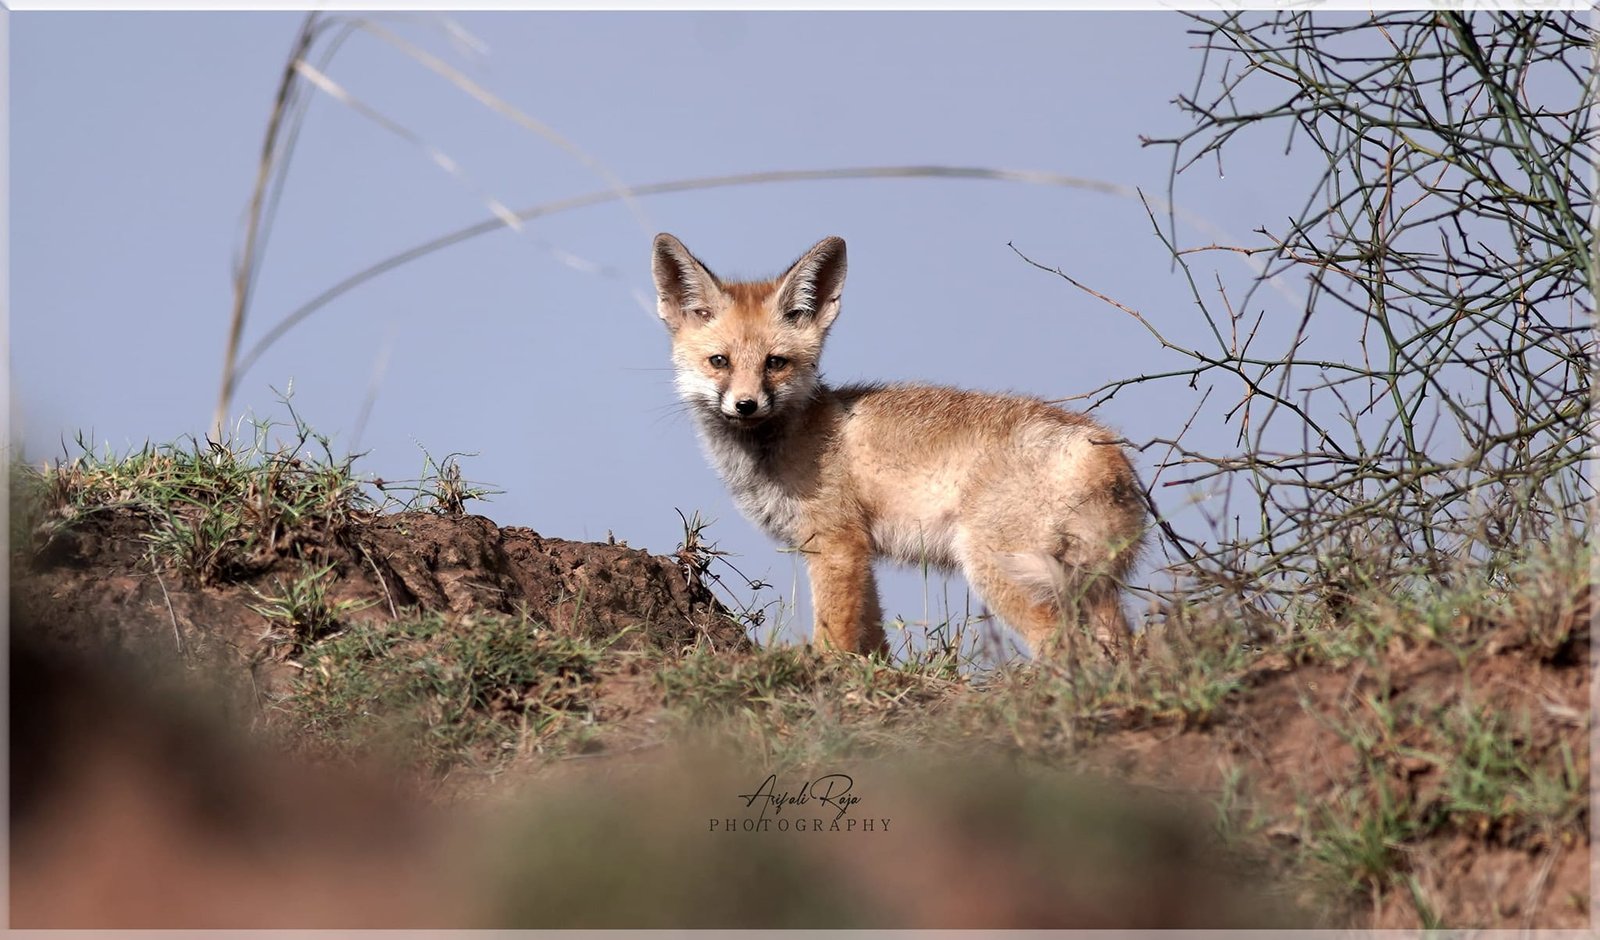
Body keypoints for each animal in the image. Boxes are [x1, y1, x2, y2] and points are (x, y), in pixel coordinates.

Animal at [652, 231, 1152, 658]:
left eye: (775, 363)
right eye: (720, 361)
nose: (745, 405)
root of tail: (1104, 447)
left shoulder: (836, 543)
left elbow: (835, 635)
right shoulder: (860, 551)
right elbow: (873, 637)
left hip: (998, 569)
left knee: (1064, 647)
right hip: (1093, 589)